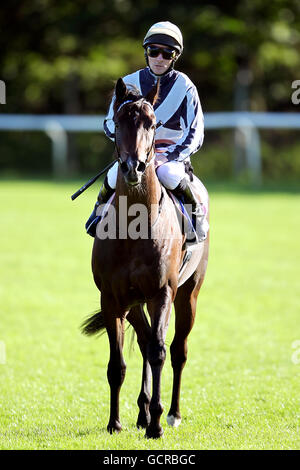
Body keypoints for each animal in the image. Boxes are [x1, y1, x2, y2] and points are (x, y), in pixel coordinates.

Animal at [81, 75, 210, 438]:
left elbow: (159, 352)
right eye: (118, 121)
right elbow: (117, 363)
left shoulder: (162, 293)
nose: (133, 167)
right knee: (142, 341)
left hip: (188, 294)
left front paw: (156, 424)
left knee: (177, 350)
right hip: (134, 303)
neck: (135, 227)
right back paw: (141, 411)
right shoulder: (111, 298)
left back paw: (172, 414)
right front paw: (115, 422)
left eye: (152, 123)